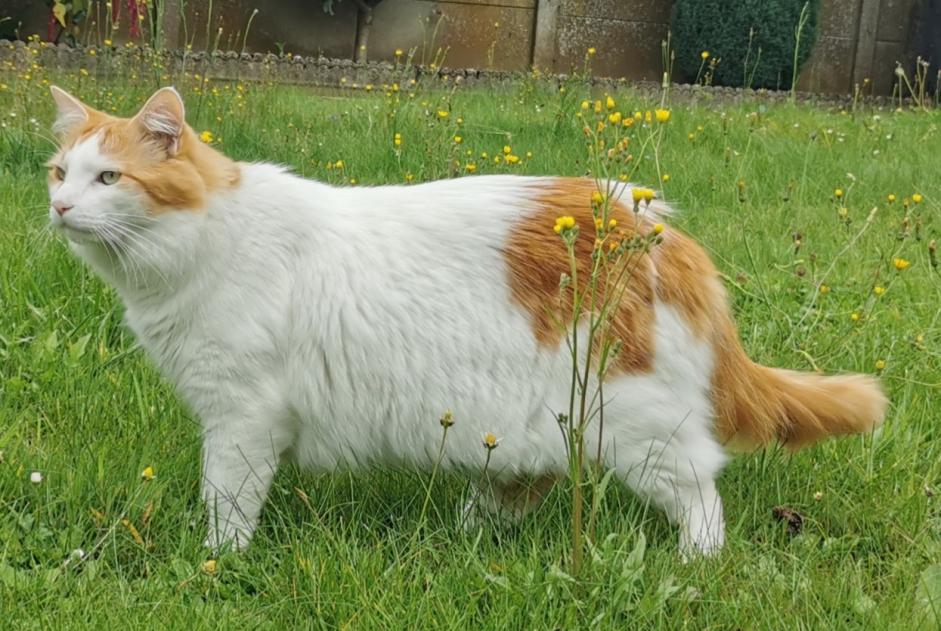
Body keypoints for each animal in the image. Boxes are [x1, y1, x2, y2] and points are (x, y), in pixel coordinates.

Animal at [44, 86, 884, 556]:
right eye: (59, 172)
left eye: (109, 177)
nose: (58, 207)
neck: (200, 244)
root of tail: (653, 224)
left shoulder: (240, 417)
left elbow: (227, 503)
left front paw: (218, 561)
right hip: (531, 421)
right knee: (527, 482)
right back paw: (462, 536)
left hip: (635, 423)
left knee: (701, 493)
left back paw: (694, 564)